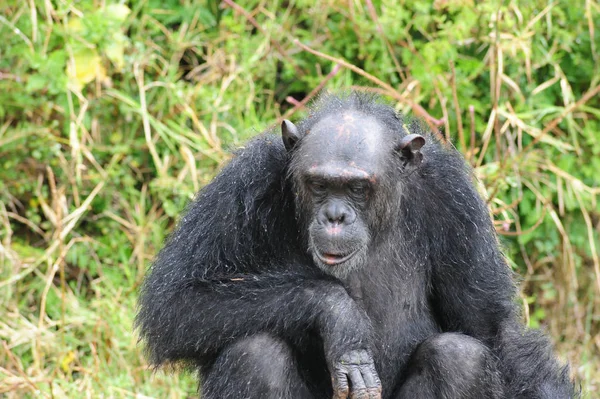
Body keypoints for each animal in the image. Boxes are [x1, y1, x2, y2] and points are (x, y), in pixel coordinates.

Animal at [136, 92, 576, 398]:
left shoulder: (456, 201)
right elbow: (175, 301)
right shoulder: (244, 182)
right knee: (255, 356)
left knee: (459, 358)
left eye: (357, 188)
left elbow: (493, 331)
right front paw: (340, 317)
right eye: (319, 184)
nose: (335, 216)